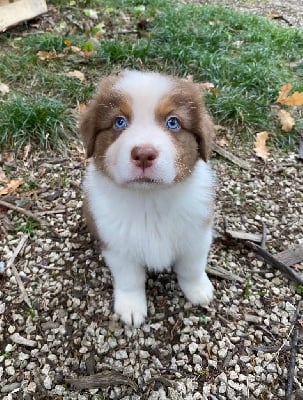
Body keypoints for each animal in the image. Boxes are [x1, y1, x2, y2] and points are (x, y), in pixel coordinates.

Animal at [79, 70, 215, 326]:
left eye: (173, 122)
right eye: (119, 122)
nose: (143, 154)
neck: (149, 200)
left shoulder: (196, 235)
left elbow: (192, 267)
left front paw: (199, 290)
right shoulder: (117, 245)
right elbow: (130, 279)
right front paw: (131, 307)